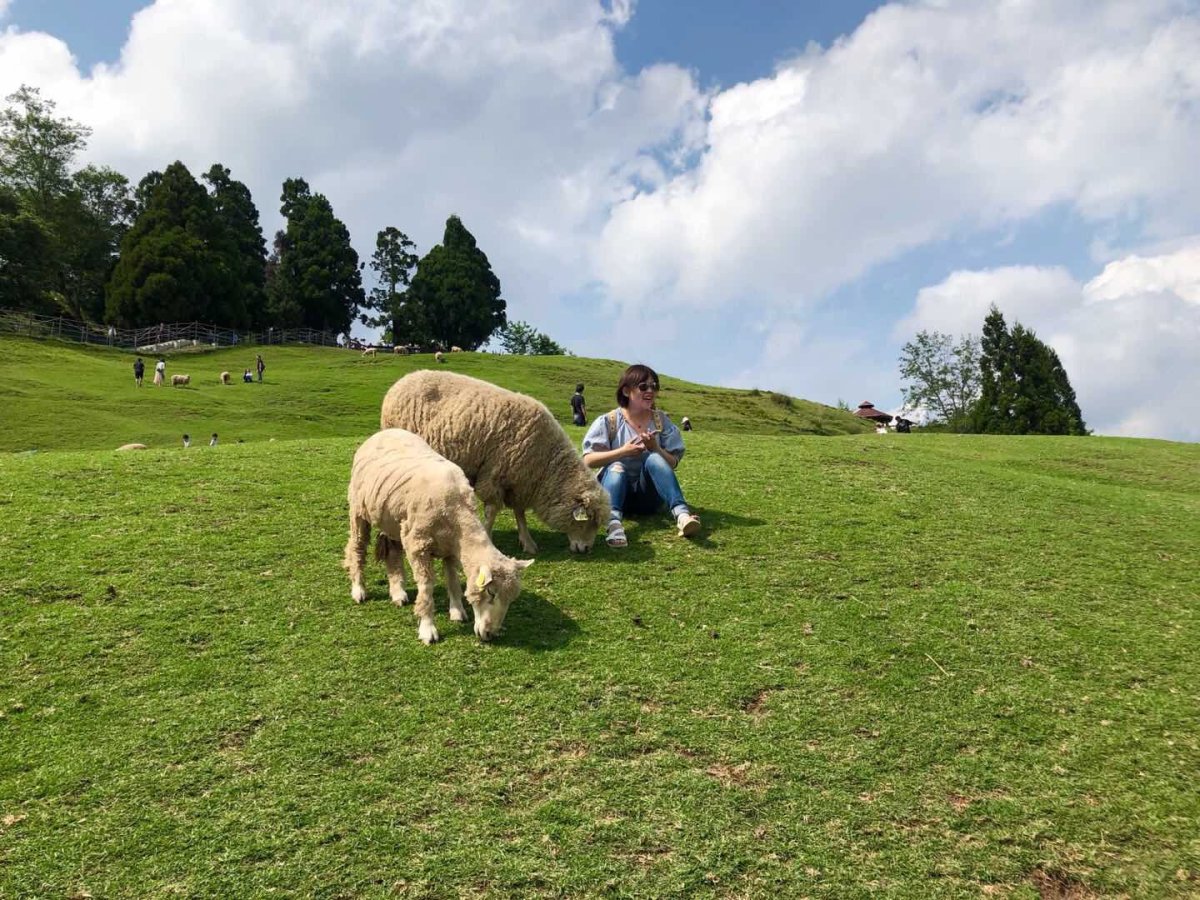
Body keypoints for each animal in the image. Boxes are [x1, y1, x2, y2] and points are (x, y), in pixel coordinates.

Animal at [343, 427, 530, 643]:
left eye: (511, 599)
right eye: (491, 593)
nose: (490, 635)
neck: (458, 515)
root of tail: (385, 431)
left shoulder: (449, 548)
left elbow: (452, 580)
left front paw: (457, 611)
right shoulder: (418, 545)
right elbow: (426, 587)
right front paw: (427, 628)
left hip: (393, 518)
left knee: (392, 552)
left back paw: (398, 592)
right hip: (359, 510)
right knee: (357, 547)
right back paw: (358, 589)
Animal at [379, 369, 614, 554]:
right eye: (588, 520)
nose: (586, 550)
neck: (546, 463)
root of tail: (402, 381)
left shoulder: (519, 480)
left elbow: (519, 512)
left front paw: (527, 542)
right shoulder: (494, 474)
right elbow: (492, 511)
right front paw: (488, 537)